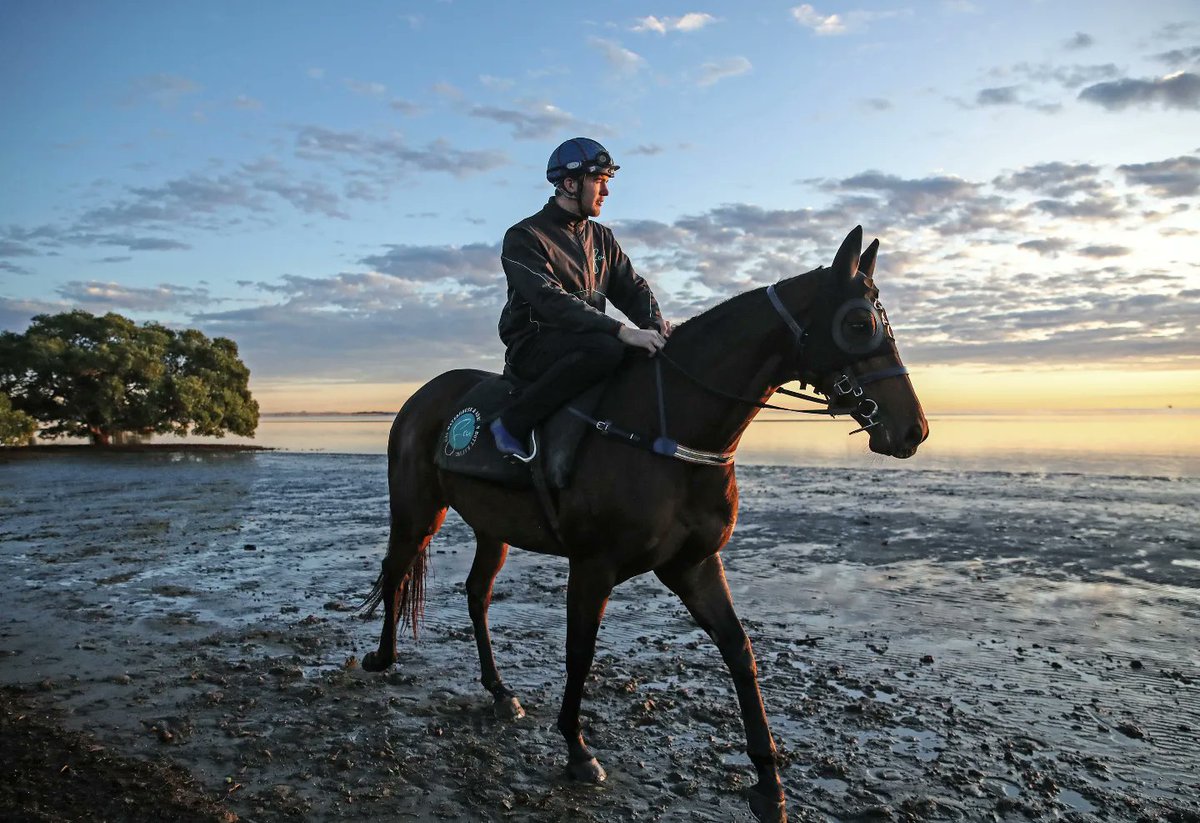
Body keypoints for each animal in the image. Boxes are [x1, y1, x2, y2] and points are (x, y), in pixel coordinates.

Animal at [361, 226, 928, 822]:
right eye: (859, 323)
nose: (913, 429)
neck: (664, 429)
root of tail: (423, 397)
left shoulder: (694, 565)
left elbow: (739, 650)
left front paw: (768, 783)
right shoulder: (593, 567)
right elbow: (580, 652)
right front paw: (578, 750)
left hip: (491, 529)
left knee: (476, 595)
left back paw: (498, 690)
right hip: (417, 512)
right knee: (395, 571)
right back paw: (384, 656)